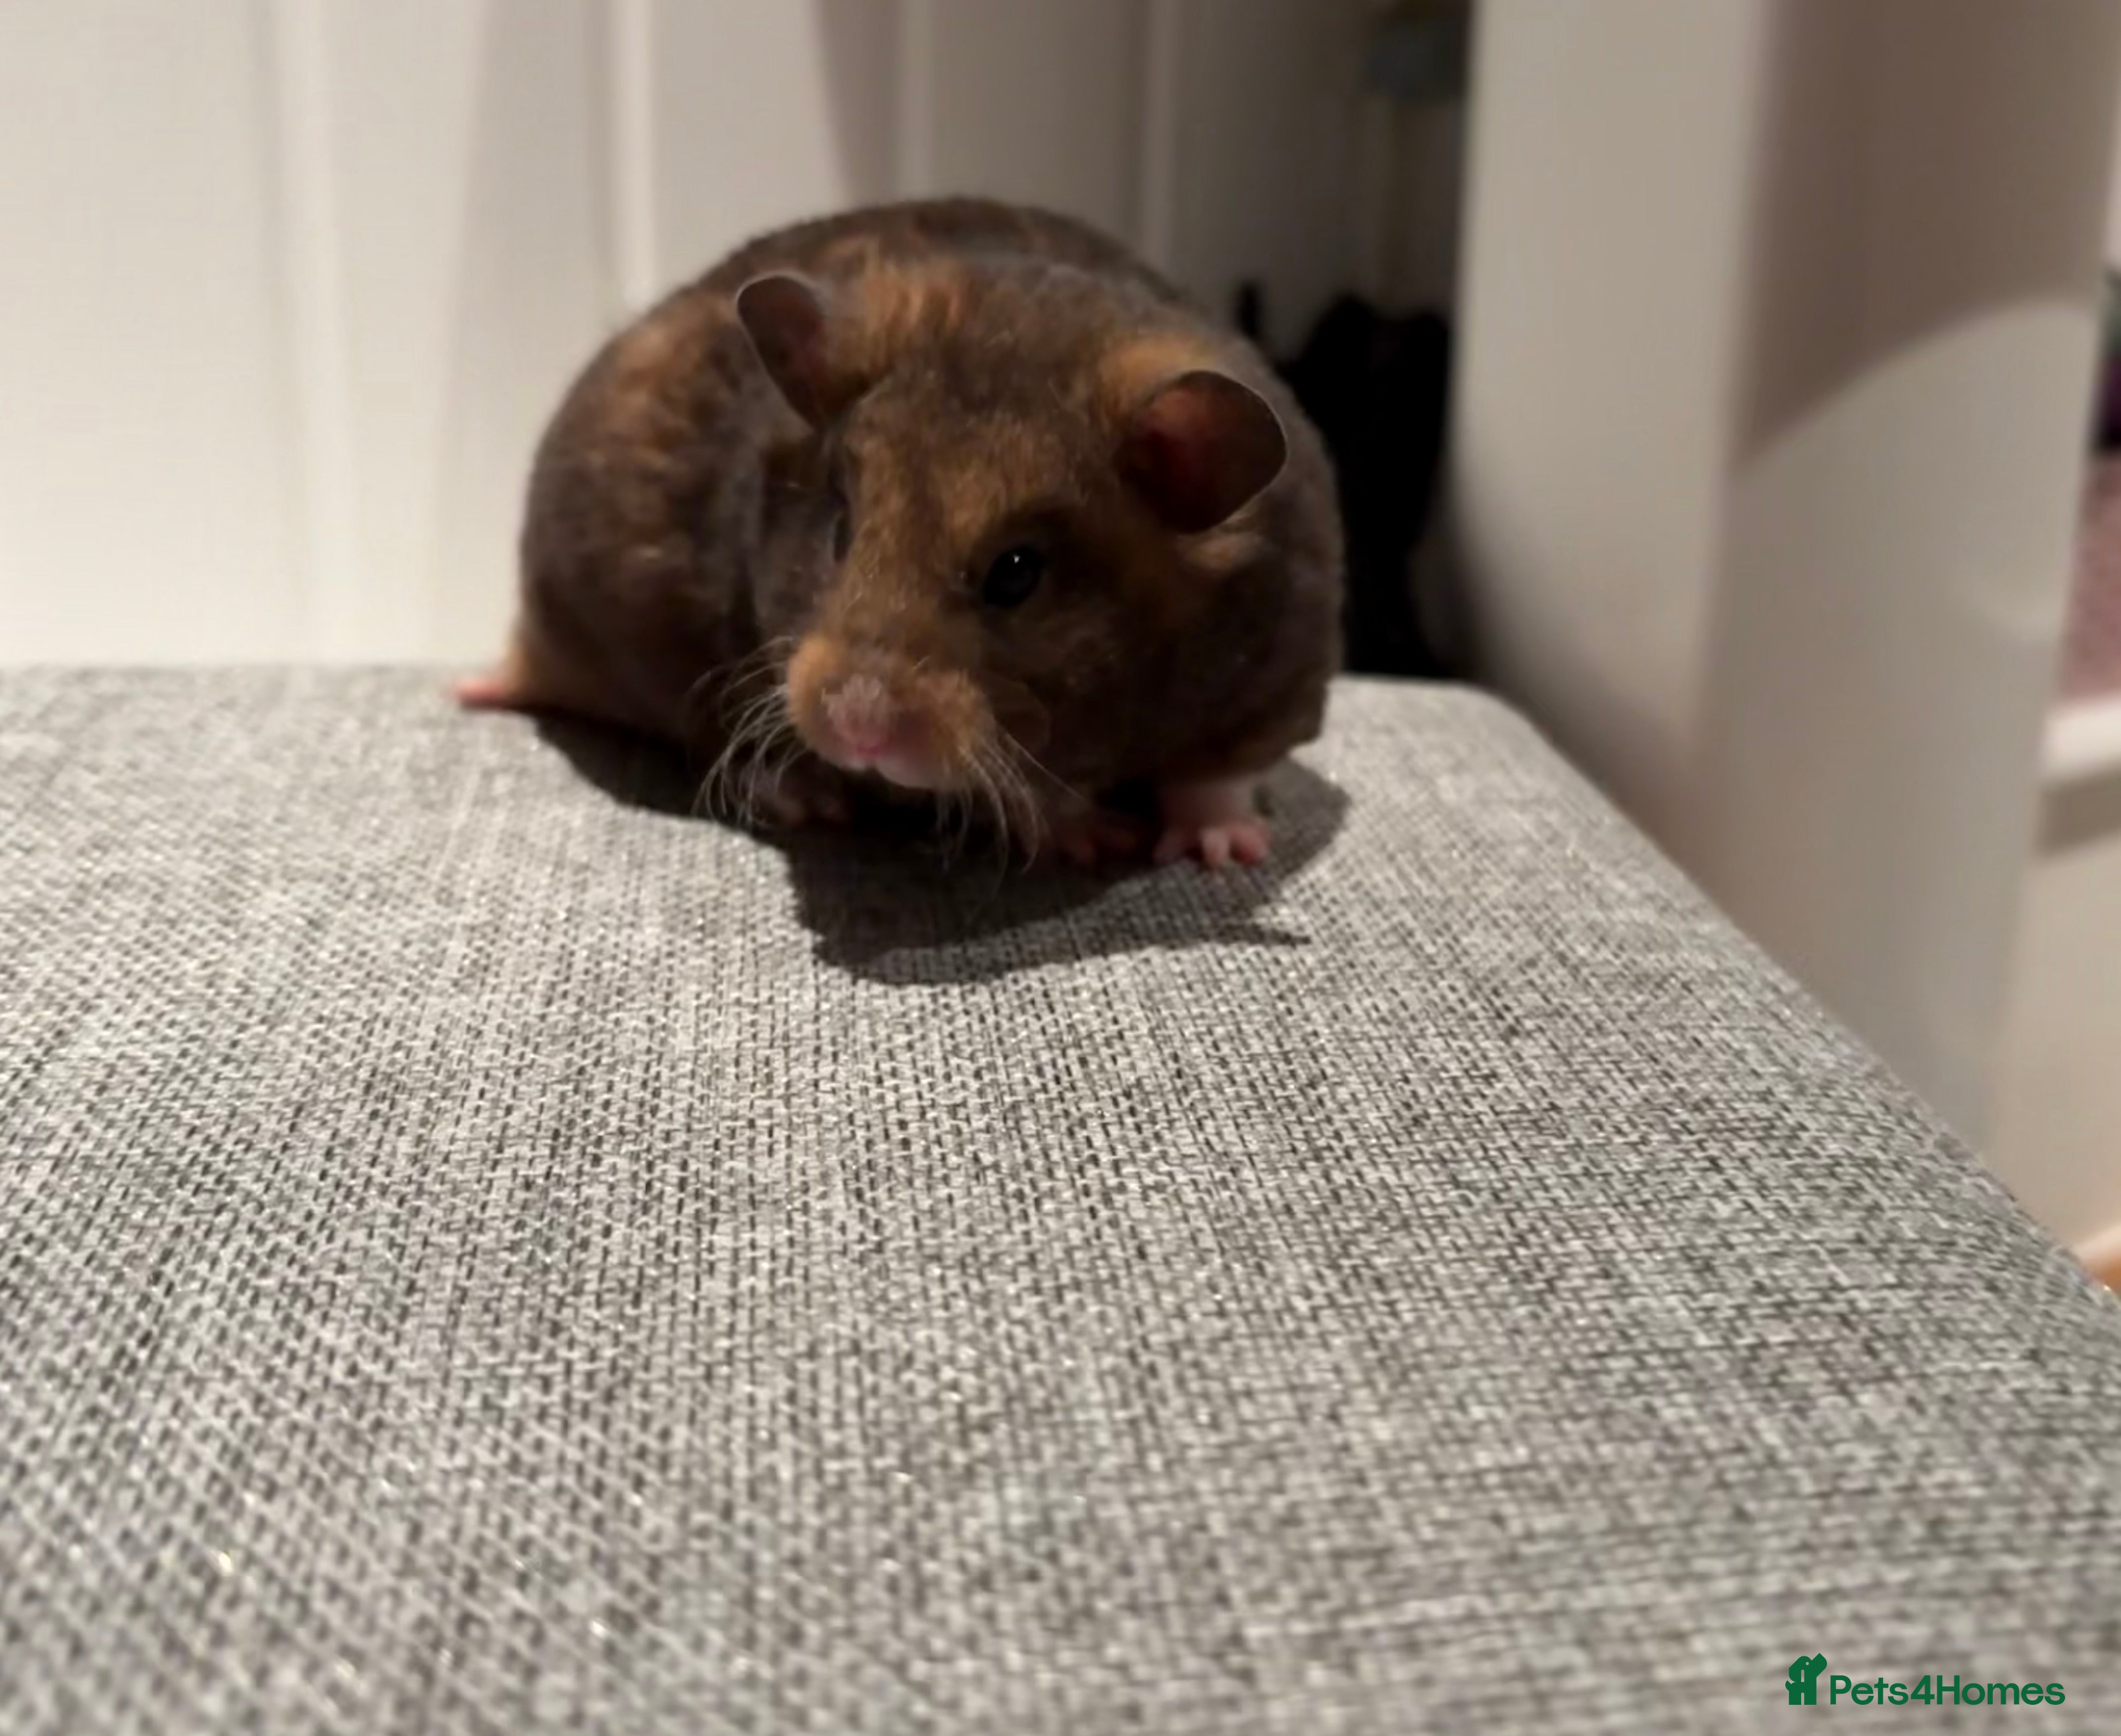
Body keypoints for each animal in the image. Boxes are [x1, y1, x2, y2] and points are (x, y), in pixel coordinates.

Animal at [460, 198, 1343, 868]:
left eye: (1017, 573)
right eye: (840, 530)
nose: (857, 727)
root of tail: (532, 649)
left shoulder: (1282, 677)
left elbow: (1217, 777)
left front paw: (1224, 852)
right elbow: (1032, 793)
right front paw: (1095, 838)